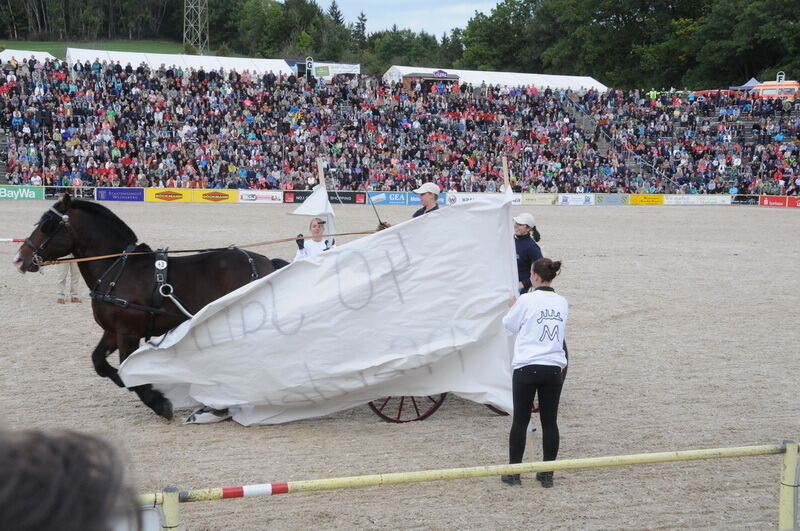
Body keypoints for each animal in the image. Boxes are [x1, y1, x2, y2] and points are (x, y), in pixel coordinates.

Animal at [13, 195, 288, 420]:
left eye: (48, 224)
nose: (19, 258)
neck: (117, 268)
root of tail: (265, 262)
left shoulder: (128, 333)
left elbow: (127, 368)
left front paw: (158, 401)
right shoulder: (112, 331)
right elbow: (99, 362)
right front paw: (130, 384)